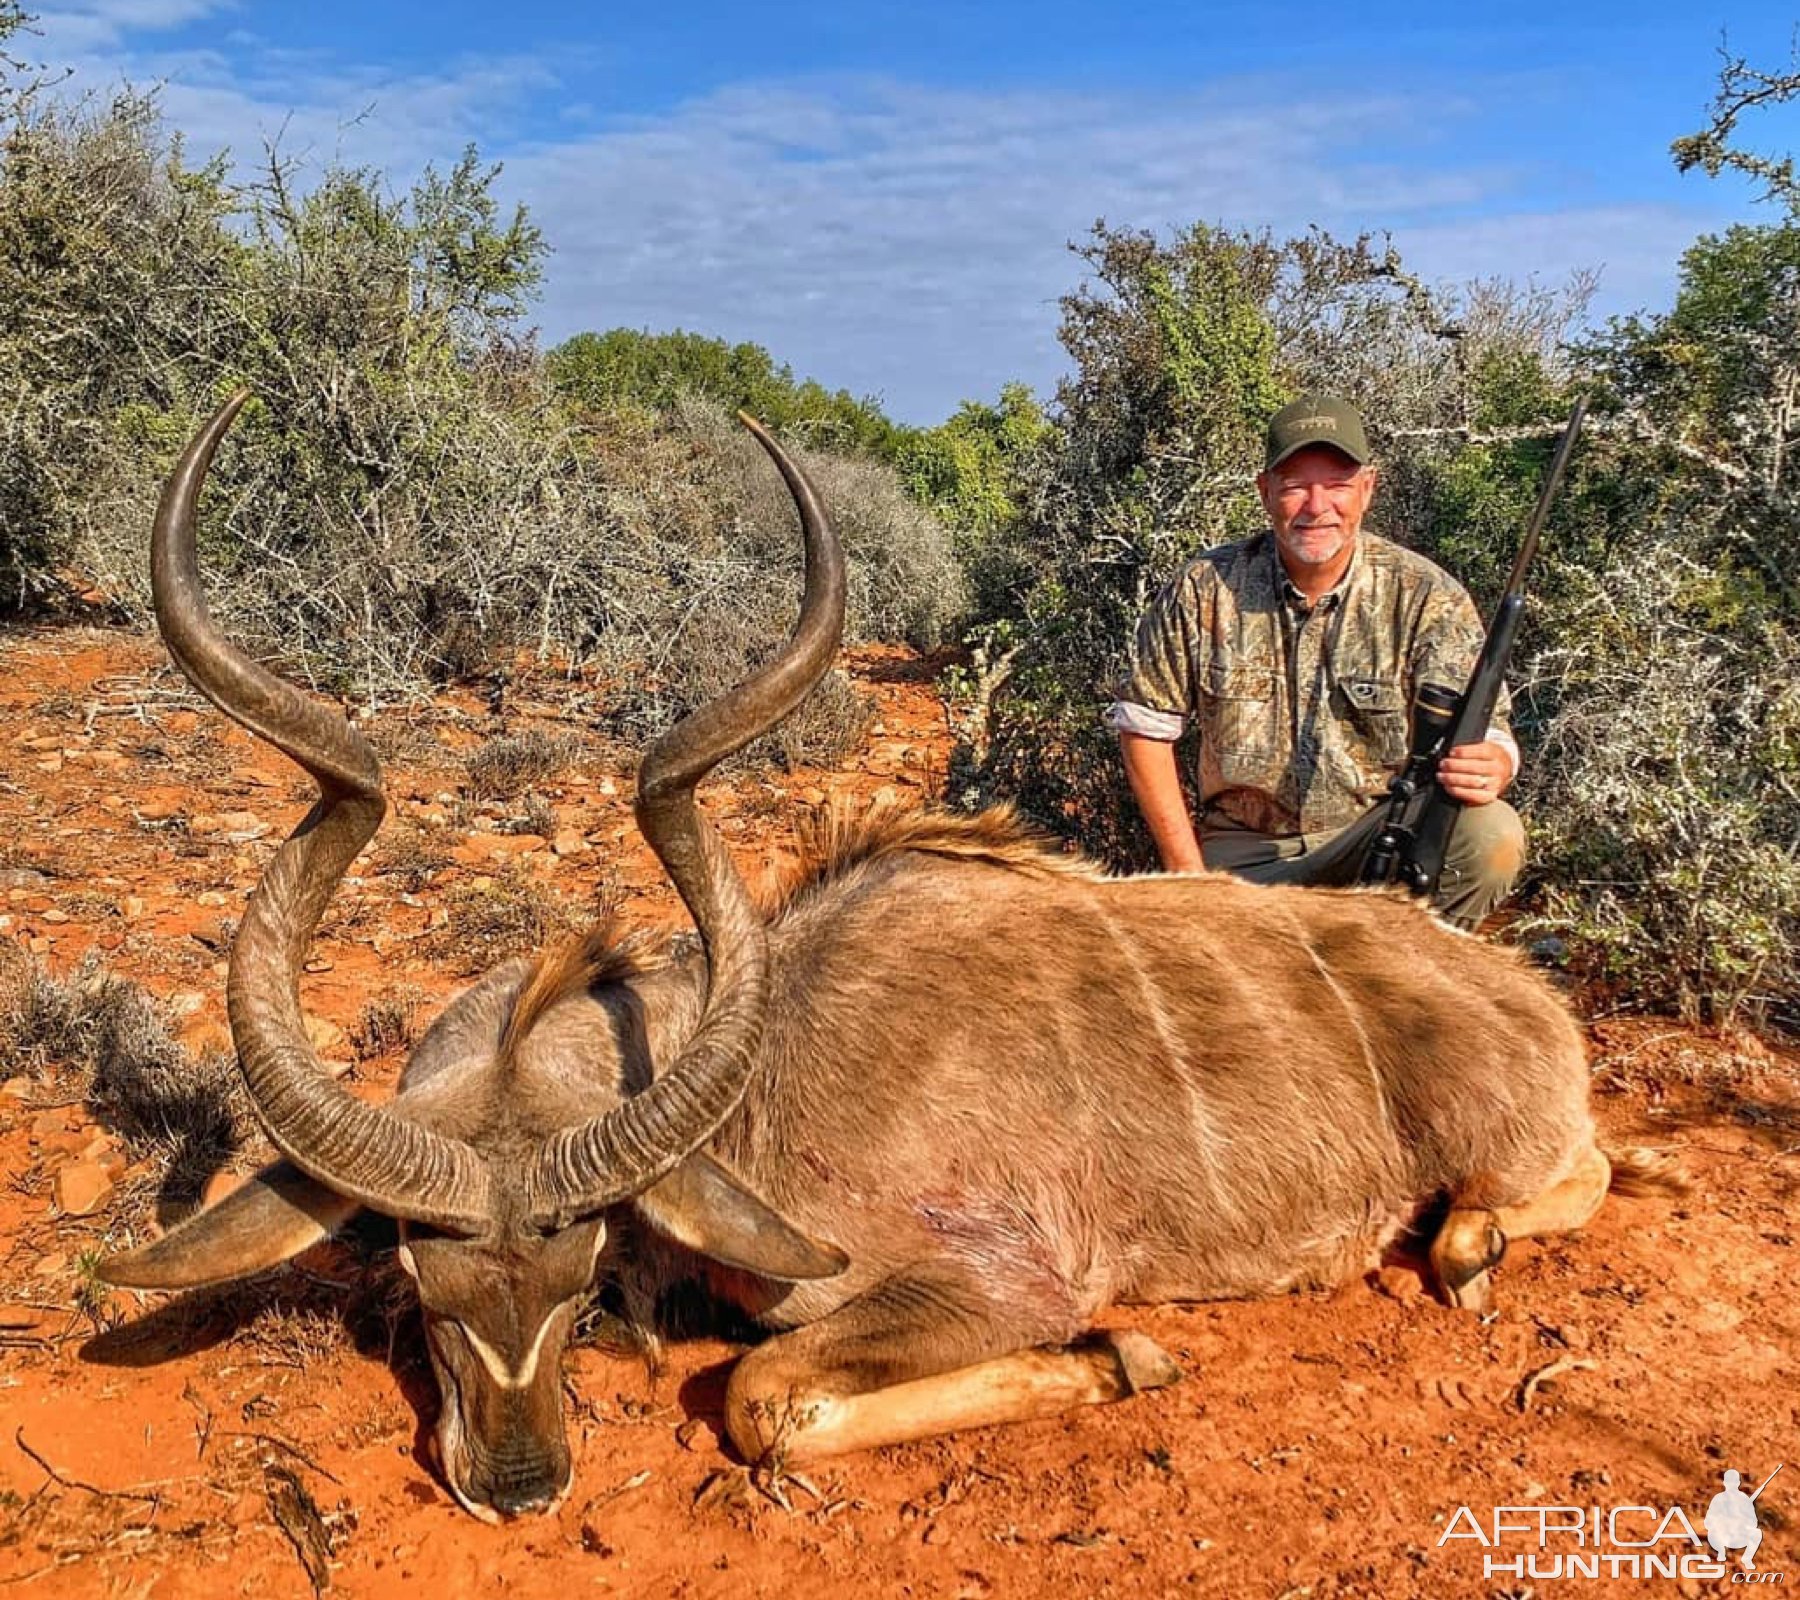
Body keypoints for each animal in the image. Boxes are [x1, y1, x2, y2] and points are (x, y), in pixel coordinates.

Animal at [102, 394, 1656, 1519]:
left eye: (583, 1274)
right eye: (427, 1297)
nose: (524, 1488)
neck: (762, 1082)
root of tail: (1526, 998)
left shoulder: (1001, 1282)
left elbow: (766, 1399)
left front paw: (1126, 1352)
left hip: (1501, 1140)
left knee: (1556, 1178)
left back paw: (1463, 1246)